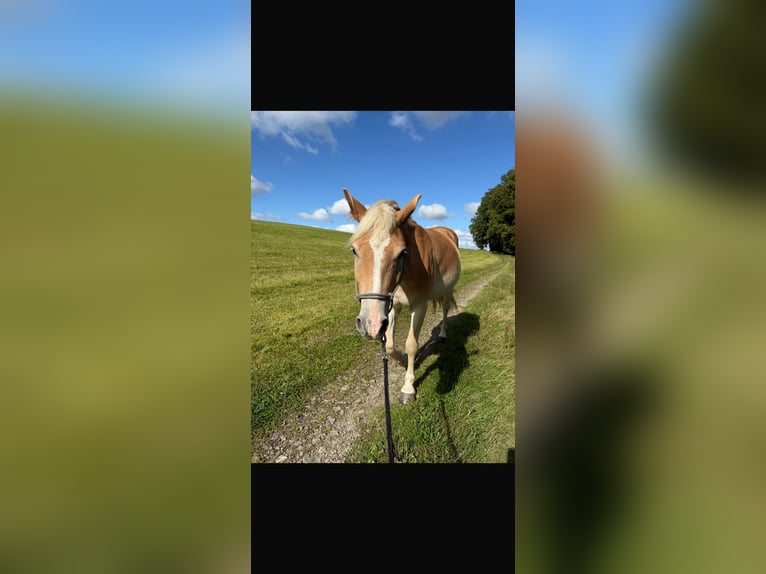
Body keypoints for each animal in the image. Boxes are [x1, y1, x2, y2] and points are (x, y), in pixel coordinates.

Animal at [343, 188, 462, 403]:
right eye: (354, 250)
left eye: (402, 252)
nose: (370, 324)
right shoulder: (391, 306)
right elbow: (389, 345)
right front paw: (403, 361)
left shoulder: (420, 306)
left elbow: (412, 344)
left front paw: (408, 387)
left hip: (448, 290)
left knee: (445, 309)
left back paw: (442, 334)